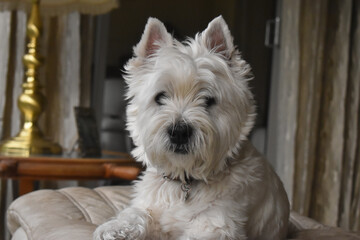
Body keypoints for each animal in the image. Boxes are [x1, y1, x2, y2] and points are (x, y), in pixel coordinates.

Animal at [93, 15, 290, 239]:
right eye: (160, 97)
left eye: (208, 100)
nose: (179, 132)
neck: (184, 182)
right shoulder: (151, 206)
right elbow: (136, 214)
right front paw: (113, 229)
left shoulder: (218, 225)